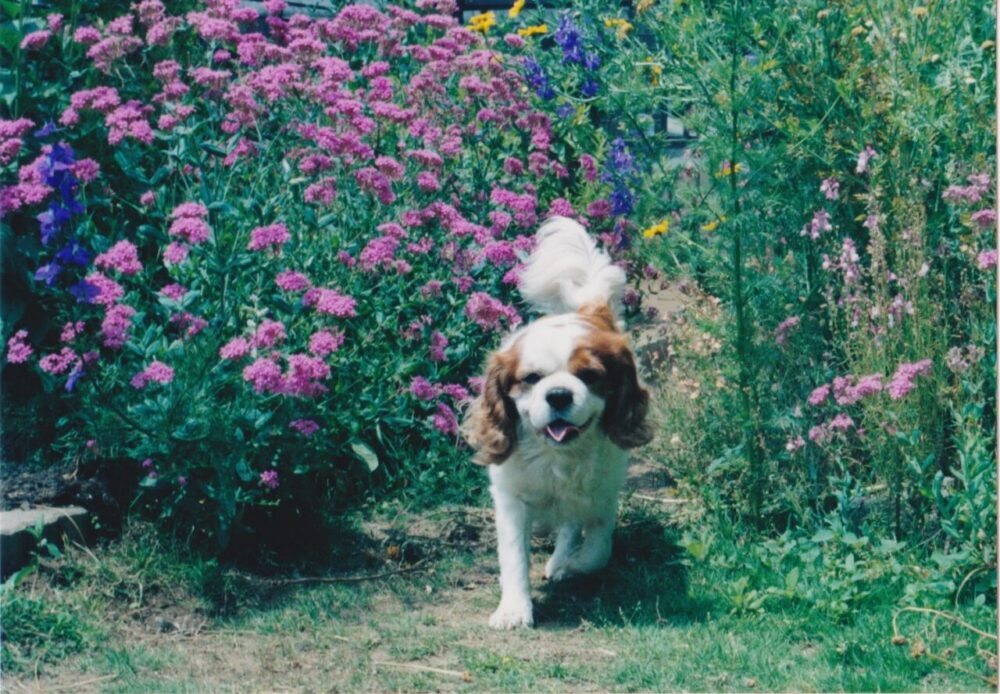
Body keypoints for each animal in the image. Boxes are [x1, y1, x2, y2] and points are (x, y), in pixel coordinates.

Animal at [458, 216, 648, 632]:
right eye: (531, 379)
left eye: (589, 376)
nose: (558, 394)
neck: (558, 455)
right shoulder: (511, 500)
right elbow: (514, 557)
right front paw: (514, 609)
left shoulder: (602, 494)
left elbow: (597, 549)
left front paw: (572, 566)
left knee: (573, 527)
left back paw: (562, 560)